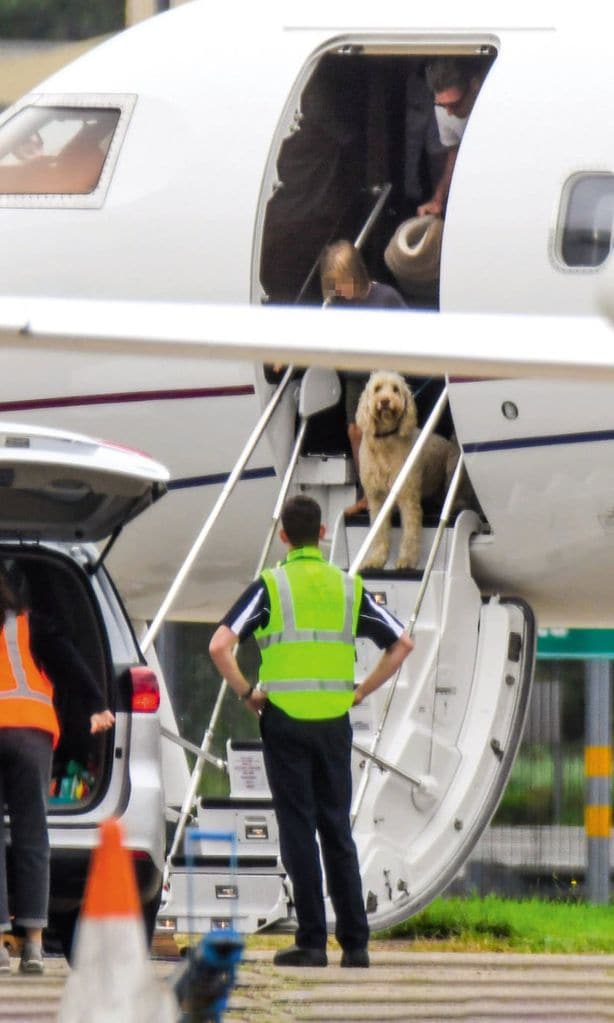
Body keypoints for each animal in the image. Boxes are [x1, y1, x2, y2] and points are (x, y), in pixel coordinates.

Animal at [354, 372, 456, 572]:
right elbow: (378, 531)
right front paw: (376, 559)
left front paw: (407, 560)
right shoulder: (376, 498)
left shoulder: (408, 495)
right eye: (377, 389)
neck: (385, 442)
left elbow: (410, 531)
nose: (385, 401)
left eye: (395, 389)